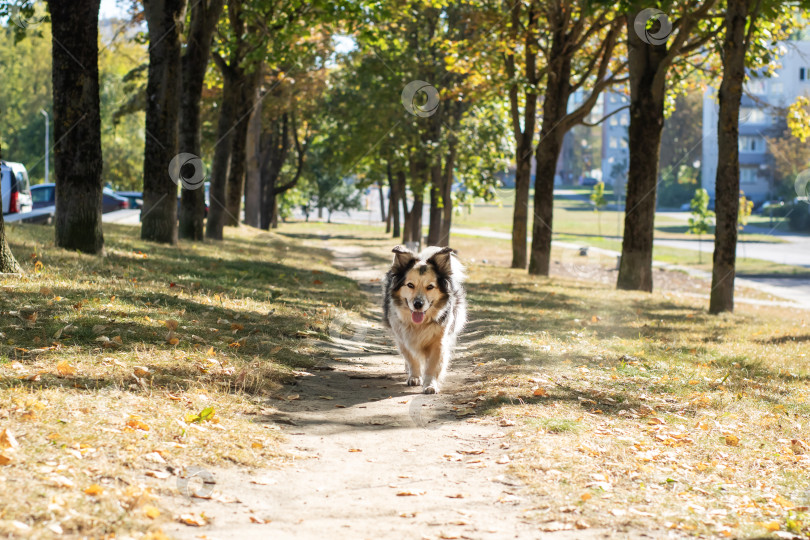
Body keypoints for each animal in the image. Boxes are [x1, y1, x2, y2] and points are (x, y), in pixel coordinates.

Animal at [380, 245, 464, 392]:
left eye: (430, 287)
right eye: (410, 285)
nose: (418, 304)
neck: (419, 324)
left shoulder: (439, 341)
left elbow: (433, 365)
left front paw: (430, 384)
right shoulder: (403, 338)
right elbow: (412, 358)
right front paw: (414, 377)